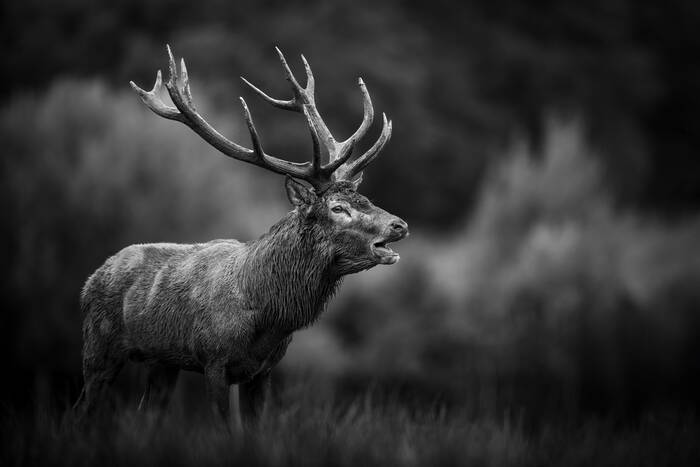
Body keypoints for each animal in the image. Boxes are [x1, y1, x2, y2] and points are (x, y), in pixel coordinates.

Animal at [73, 45, 408, 428]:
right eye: (338, 208)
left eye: (364, 198)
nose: (399, 225)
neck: (268, 314)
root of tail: (92, 278)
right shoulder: (213, 359)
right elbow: (223, 427)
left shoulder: (262, 371)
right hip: (99, 345)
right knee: (81, 409)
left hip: (162, 362)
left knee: (148, 413)